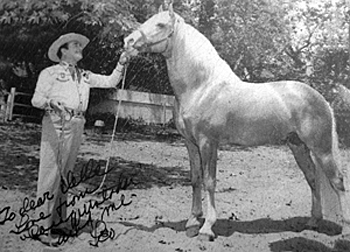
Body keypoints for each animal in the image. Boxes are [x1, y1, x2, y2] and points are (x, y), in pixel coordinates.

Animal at [124, 3, 350, 240]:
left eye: (160, 24)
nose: (128, 41)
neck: (202, 87)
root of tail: (322, 100)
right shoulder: (190, 143)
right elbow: (195, 179)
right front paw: (192, 221)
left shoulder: (208, 142)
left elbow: (209, 181)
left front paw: (207, 227)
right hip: (298, 146)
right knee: (313, 179)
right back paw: (312, 222)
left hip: (321, 149)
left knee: (337, 181)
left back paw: (344, 230)